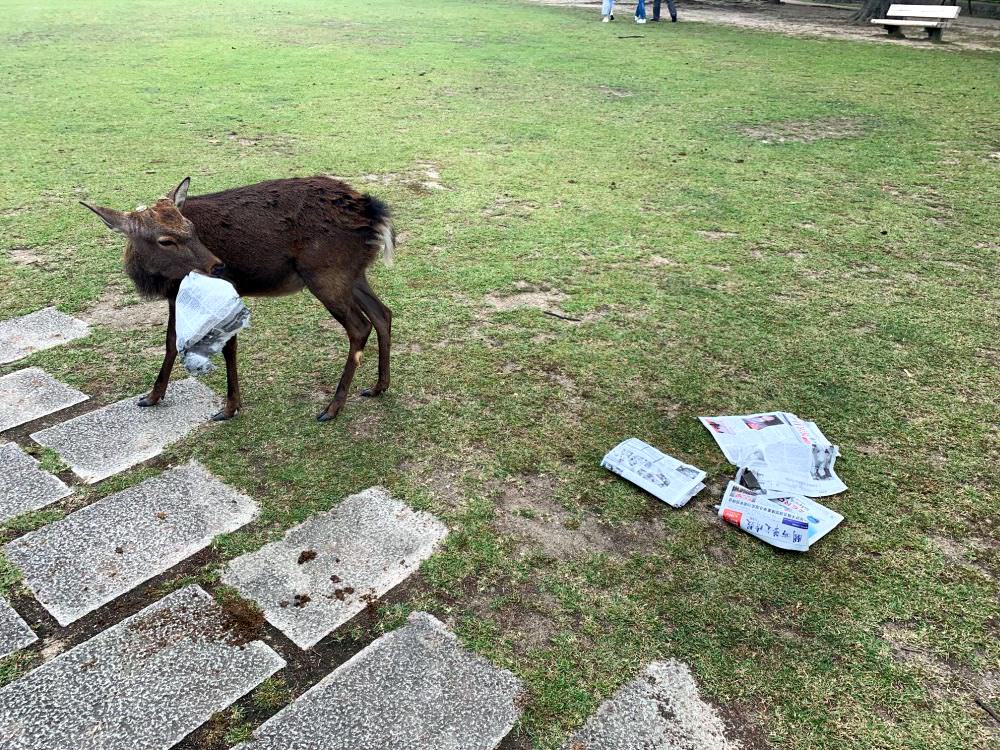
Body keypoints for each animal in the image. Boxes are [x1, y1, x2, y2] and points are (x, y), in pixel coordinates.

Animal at [81, 175, 394, 424]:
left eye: (191, 228)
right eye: (165, 240)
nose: (218, 267)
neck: (160, 280)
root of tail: (374, 214)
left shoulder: (223, 291)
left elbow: (228, 346)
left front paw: (229, 408)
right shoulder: (175, 296)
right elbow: (171, 342)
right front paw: (151, 396)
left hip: (326, 273)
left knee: (359, 326)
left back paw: (332, 407)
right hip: (353, 274)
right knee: (383, 313)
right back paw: (378, 386)